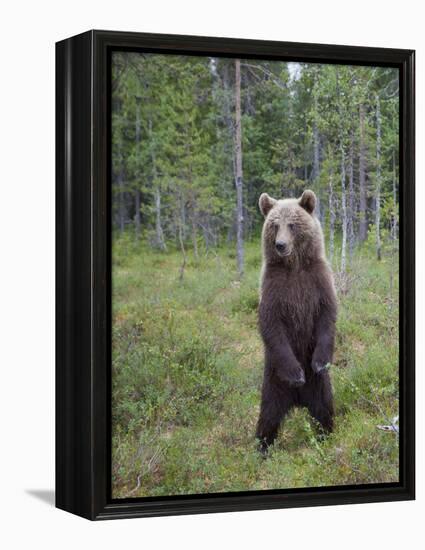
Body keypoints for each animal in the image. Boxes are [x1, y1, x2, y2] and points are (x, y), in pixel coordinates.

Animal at [253, 192, 336, 454]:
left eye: (292, 224)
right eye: (274, 224)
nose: (280, 245)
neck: (295, 266)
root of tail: (298, 400)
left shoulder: (318, 281)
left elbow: (327, 315)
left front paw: (319, 362)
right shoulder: (273, 287)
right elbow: (271, 324)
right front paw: (296, 373)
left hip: (320, 386)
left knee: (323, 410)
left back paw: (327, 437)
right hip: (273, 381)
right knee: (268, 417)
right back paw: (261, 448)